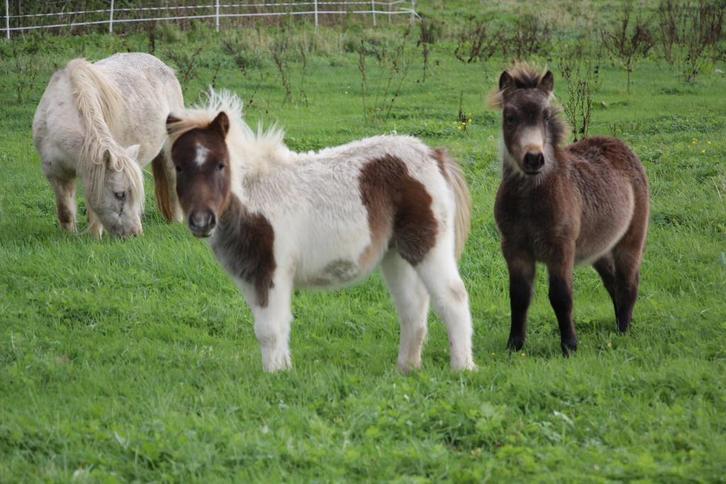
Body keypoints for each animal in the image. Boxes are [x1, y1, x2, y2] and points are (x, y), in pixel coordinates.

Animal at [32, 53, 184, 238]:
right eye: (120, 194)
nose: (135, 234)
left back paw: (176, 221)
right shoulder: (56, 173)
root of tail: (165, 67)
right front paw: (68, 237)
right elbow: (65, 212)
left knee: (172, 182)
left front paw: (94, 237)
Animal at [159, 90, 476, 373]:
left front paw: (275, 376)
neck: (255, 196)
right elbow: (272, 326)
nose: (202, 222)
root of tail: (434, 155)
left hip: (428, 244)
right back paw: (407, 368)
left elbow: (270, 329)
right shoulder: (251, 276)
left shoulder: (272, 272)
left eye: (221, 165)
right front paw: (282, 370)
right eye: (179, 167)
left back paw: (462, 367)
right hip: (396, 253)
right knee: (413, 307)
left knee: (453, 297)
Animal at [490, 64, 649, 356]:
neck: (530, 201)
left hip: (631, 240)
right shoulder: (514, 248)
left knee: (628, 282)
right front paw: (514, 345)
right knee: (613, 282)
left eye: (545, 115)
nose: (534, 158)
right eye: (510, 117)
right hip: (600, 247)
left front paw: (570, 346)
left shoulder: (561, 248)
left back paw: (624, 329)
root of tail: (619, 145)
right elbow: (519, 296)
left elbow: (561, 296)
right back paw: (620, 322)